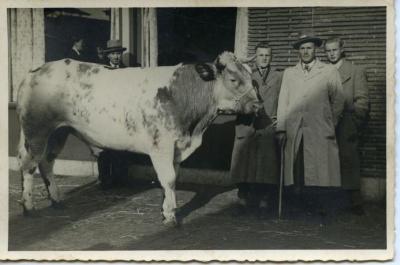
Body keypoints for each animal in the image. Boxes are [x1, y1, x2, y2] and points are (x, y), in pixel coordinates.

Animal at [15, 51, 260, 225]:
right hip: (37, 130)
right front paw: (170, 217)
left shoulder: (177, 148)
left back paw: (56, 201)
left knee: (47, 162)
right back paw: (28, 207)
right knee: (29, 164)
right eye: (233, 79)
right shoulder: (161, 145)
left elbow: (173, 178)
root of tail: (36, 70)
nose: (258, 104)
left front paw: (167, 209)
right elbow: (168, 179)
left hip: (59, 131)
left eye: (252, 78)